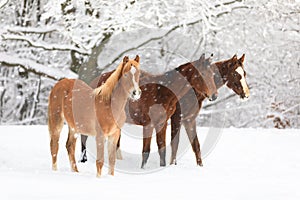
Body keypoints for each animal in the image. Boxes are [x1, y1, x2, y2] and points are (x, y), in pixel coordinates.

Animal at [81, 53, 217, 167]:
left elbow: (163, 148)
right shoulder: (149, 124)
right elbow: (146, 150)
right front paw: (143, 168)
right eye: (202, 74)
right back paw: (83, 160)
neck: (163, 91)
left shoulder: (163, 123)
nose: (214, 95)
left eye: (212, 74)